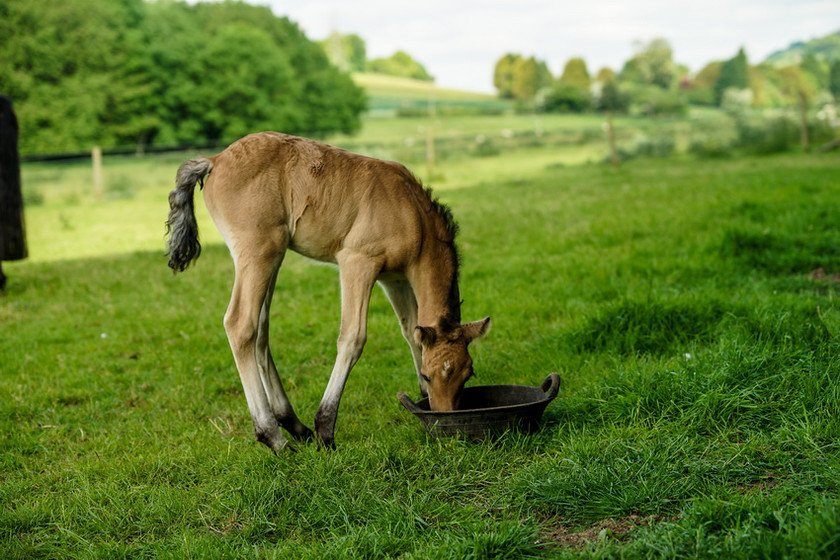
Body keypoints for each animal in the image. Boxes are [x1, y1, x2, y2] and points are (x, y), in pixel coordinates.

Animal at [167, 132, 488, 450]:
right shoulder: (358, 262)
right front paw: (326, 427)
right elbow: (353, 337)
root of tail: (216, 159)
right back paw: (274, 436)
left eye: (467, 374)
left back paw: (293, 424)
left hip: (272, 257)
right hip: (259, 251)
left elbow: (411, 331)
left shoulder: (394, 278)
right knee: (240, 324)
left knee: (260, 330)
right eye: (429, 375)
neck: (412, 213)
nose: (446, 422)